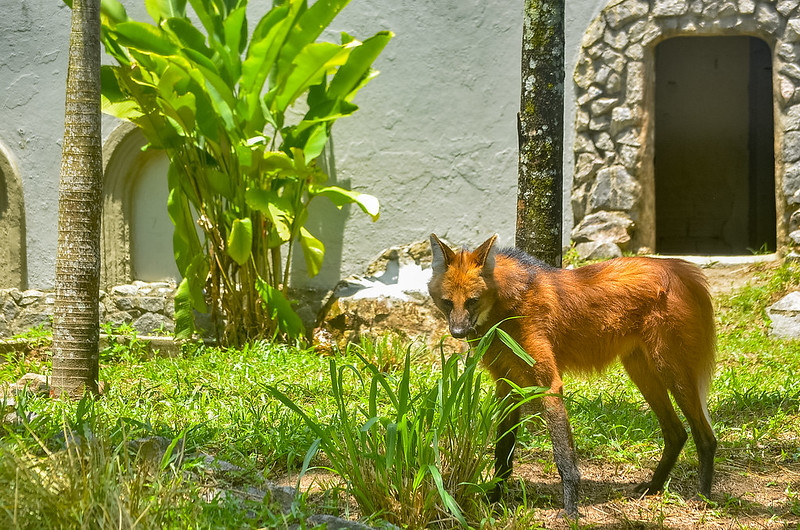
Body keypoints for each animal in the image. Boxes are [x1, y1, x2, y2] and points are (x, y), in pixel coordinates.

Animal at [428, 233, 716, 512]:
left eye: (472, 301)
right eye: (447, 302)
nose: (458, 332)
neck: (506, 306)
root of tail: (684, 270)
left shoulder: (549, 384)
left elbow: (563, 456)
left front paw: (570, 510)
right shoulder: (507, 385)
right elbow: (503, 450)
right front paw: (494, 500)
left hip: (672, 371)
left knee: (705, 436)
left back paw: (702, 496)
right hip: (642, 373)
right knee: (677, 433)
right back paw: (653, 487)